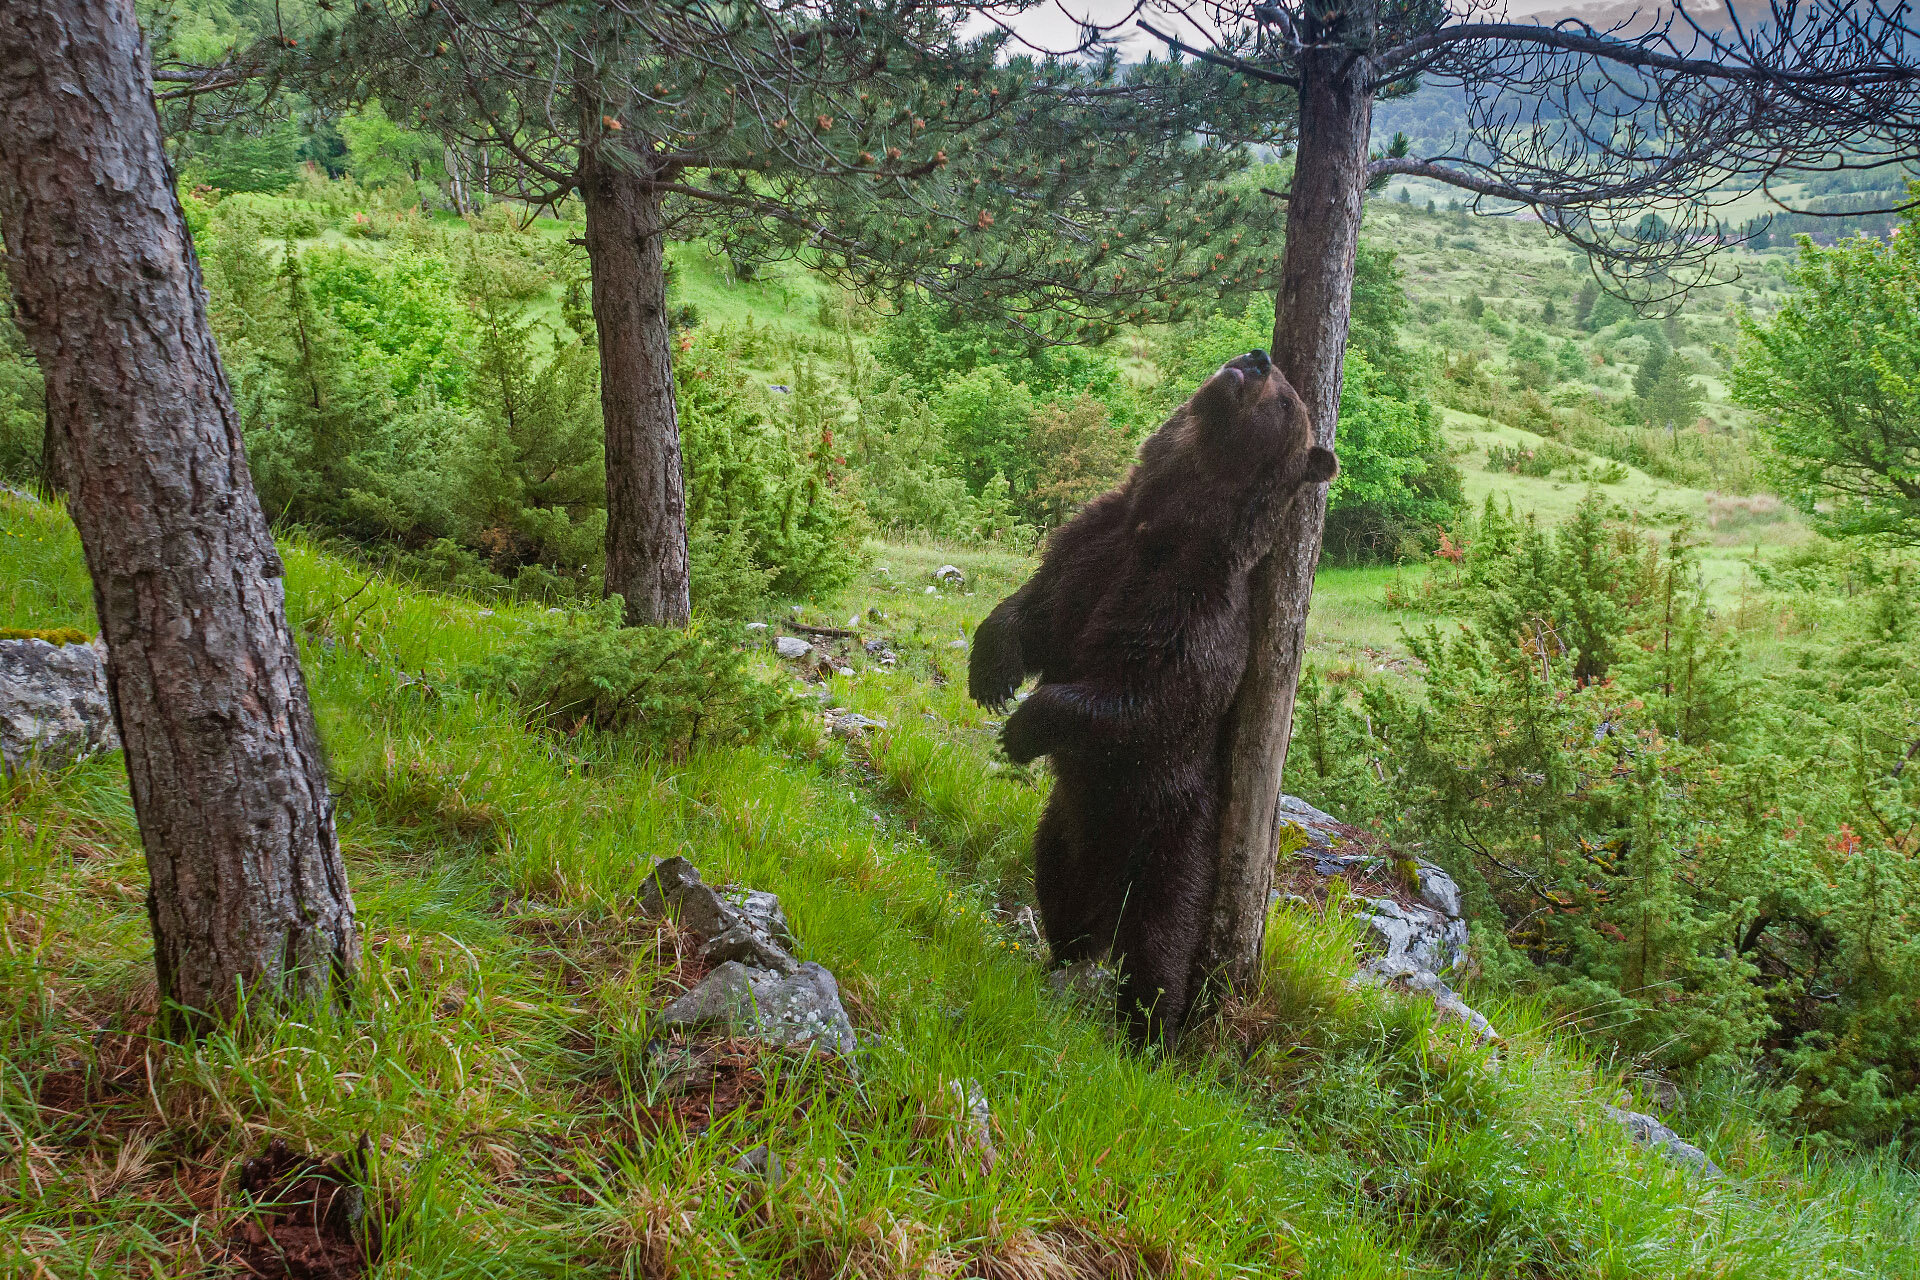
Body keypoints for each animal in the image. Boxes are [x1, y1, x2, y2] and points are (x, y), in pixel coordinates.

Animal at [969, 349, 1336, 1044]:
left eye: (1285, 398)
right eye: (1269, 368)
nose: (1257, 358)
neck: (1163, 524)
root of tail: (1108, 898)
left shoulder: (1192, 611)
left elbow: (1145, 699)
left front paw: (1023, 727)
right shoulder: (1095, 544)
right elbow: (1036, 610)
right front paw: (990, 674)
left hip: (1173, 844)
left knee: (1159, 951)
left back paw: (1148, 1036)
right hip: (1065, 830)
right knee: (1060, 897)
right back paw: (1060, 961)